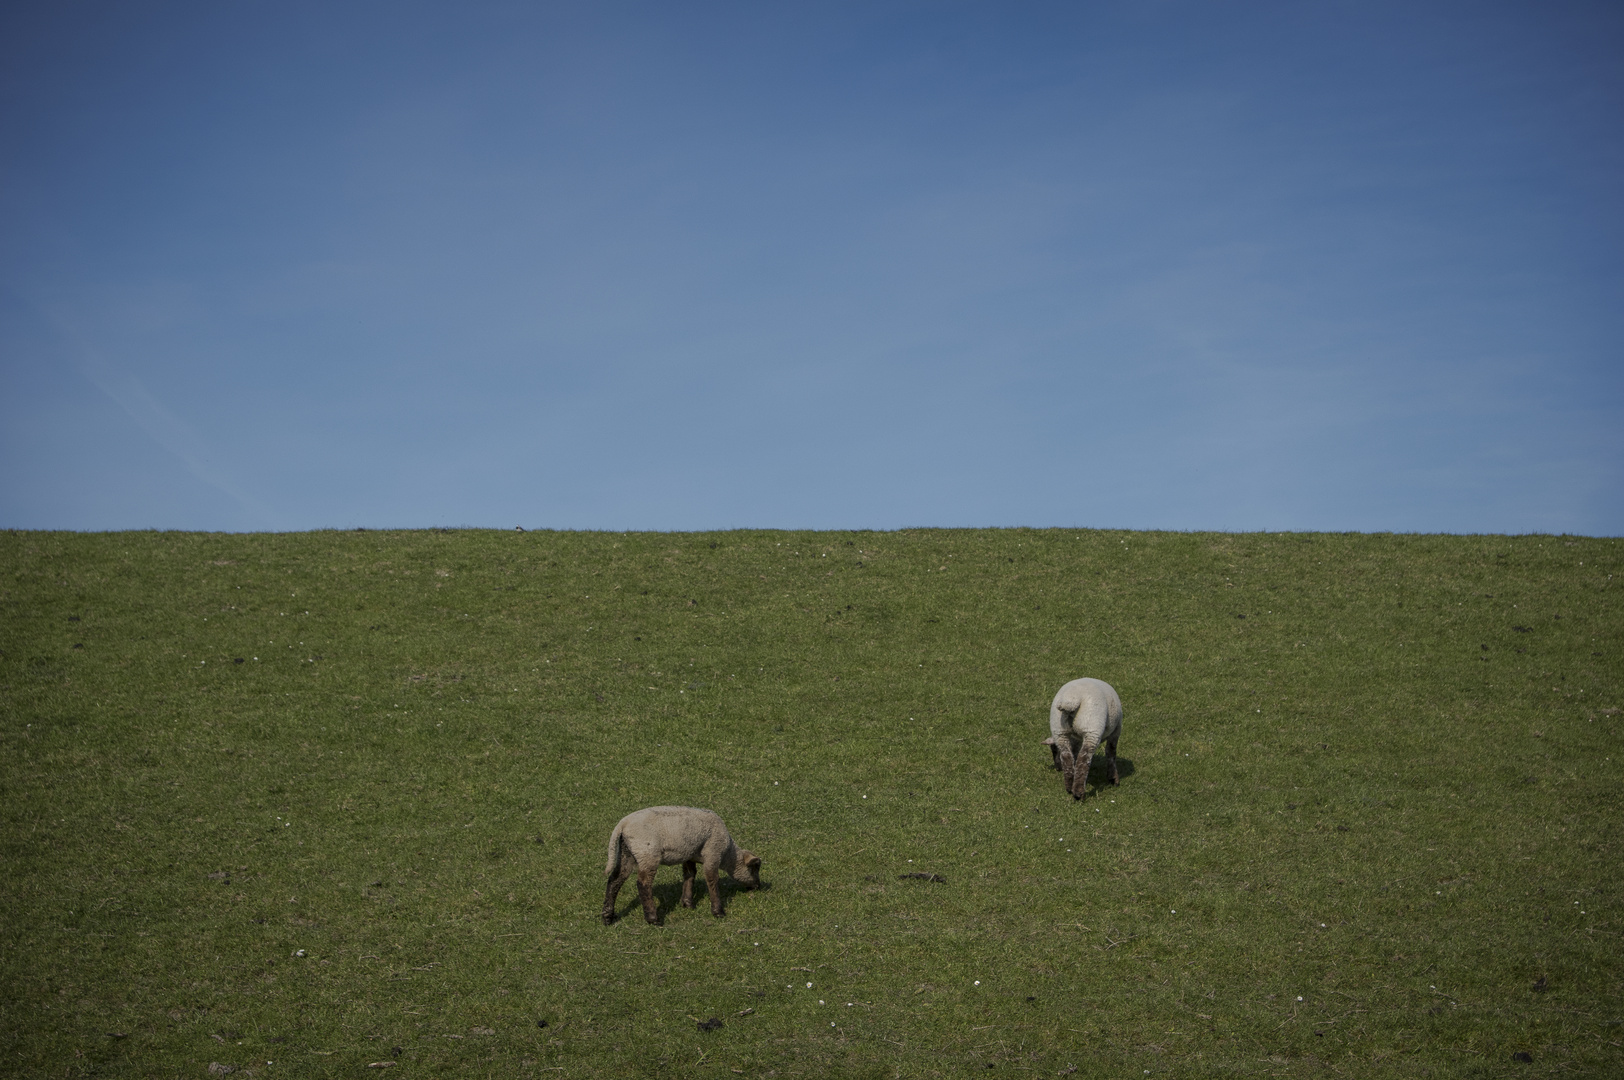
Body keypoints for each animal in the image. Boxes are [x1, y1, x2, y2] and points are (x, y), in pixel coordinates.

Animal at [604, 805, 760, 922]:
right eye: (754, 869)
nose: (758, 886)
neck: (728, 853)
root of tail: (622, 825)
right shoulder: (713, 853)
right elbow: (712, 880)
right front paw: (718, 912)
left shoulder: (689, 854)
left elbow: (689, 876)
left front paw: (687, 903)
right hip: (648, 854)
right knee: (643, 884)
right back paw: (653, 918)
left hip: (627, 852)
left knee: (615, 880)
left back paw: (607, 916)